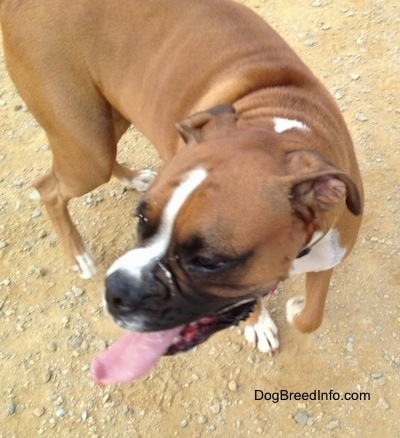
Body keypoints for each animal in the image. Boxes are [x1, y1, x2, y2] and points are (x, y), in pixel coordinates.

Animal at [0, 0, 362, 384]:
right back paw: (79, 254)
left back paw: (132, 178)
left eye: (209, 262)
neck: (278, 124)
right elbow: (257, 304)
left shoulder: (329, 256)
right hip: (87, 149)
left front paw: (294, 309)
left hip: (105, 125)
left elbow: (311, 317)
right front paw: (259, 322)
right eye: (142, 219)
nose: (117, 291)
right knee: (48, 188)